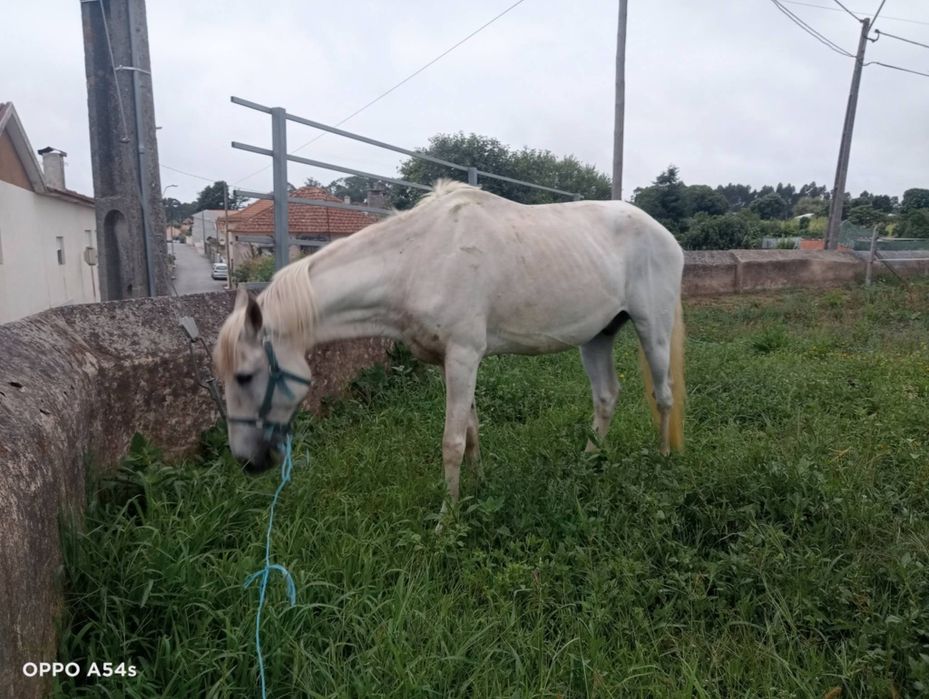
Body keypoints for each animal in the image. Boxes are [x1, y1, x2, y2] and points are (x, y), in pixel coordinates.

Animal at [214, 180, 685, 520]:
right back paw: (588, 462)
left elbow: (451, 441)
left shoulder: (463, 357)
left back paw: (664, 461)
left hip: (653, 328)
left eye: (245, 376)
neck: (416, 260)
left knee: (663, 395)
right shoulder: (450, 362)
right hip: (598, 336)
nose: (247, 461)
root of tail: (666, 235)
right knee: (606, 397)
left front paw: (447, 519)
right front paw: (478, 487)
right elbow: (472, 431)